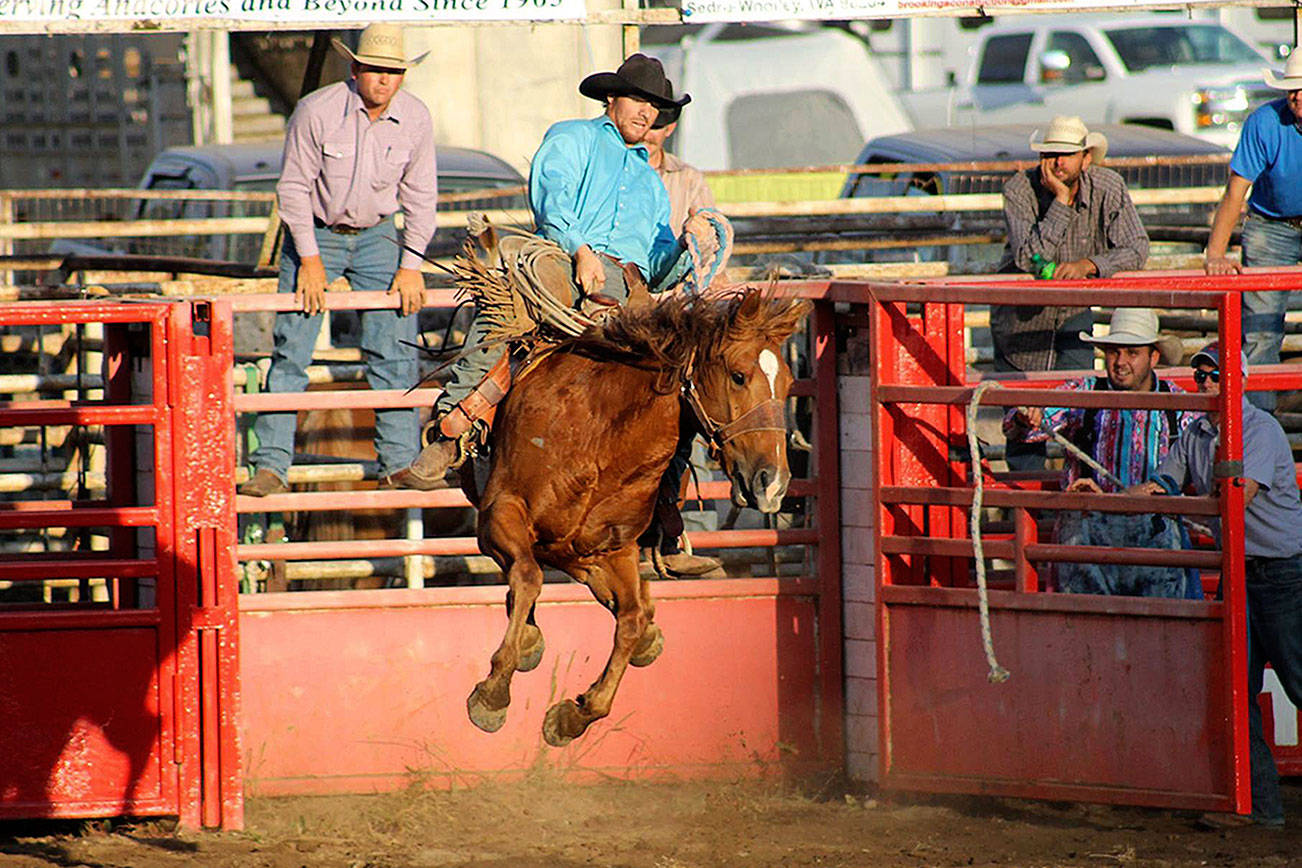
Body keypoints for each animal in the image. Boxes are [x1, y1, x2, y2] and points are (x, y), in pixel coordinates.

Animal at [460, 290, 802, 749]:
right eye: (738, 375)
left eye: (788, 384)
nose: (774, 482)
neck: (601, 438)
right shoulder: (500, 514)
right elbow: (528, 577)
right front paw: (493, 695)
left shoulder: (607, 551)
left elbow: (631, 618)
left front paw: (572, 716)